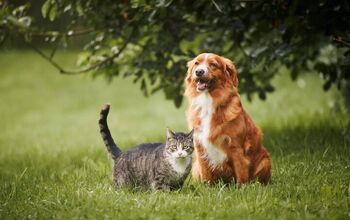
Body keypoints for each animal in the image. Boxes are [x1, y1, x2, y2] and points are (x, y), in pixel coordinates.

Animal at [185, 52, 272, 184]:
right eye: (196, 63)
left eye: (213, 64)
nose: (199, 71)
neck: (208, 102)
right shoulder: (200, 146)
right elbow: (206, 174)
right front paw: (206, 187)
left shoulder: (236, 147)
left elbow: (241, 172)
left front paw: (242, 188)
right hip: (195, 167)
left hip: (265, 161)